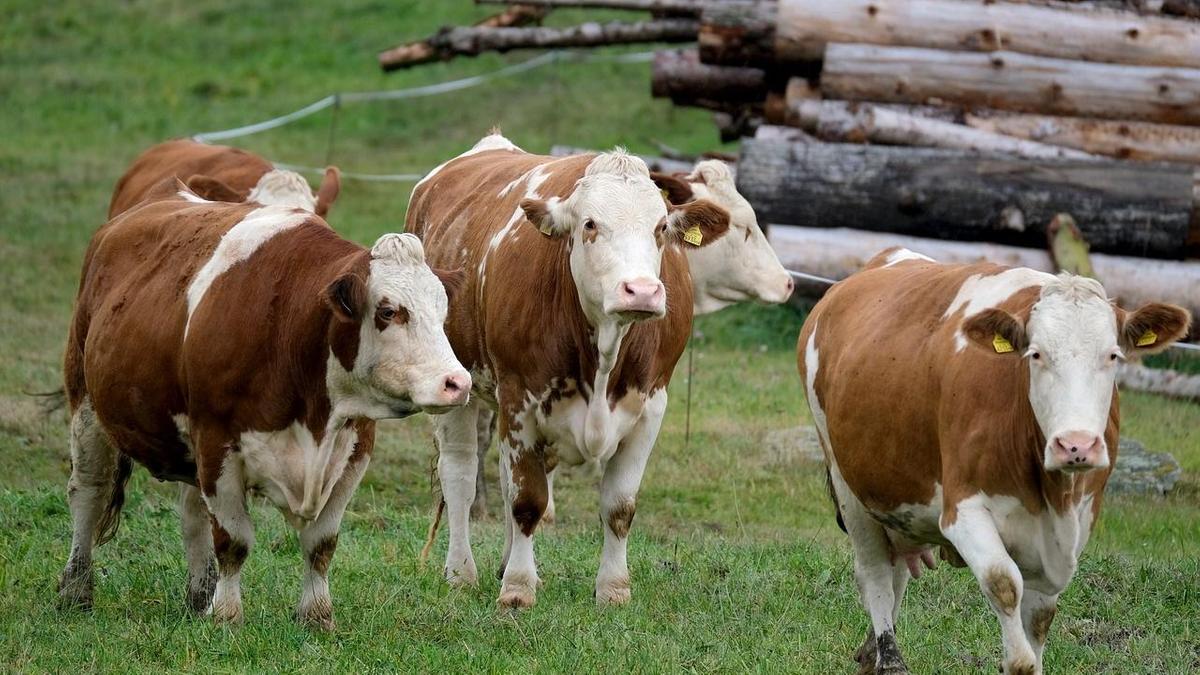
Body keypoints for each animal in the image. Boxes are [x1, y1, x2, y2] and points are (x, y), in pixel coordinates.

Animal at [59, 181, 468, 629]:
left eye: (443, 310)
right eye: (389, 311)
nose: (457, 383)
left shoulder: (355, 449)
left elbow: (321, 543)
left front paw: (316, 614)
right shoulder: (216, 443)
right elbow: (233, 540)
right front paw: (227, 615)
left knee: (191, 513)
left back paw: (199, 596)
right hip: (87, 405)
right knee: (88, 493)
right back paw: (75, 591)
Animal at [408, 131, 729, 605]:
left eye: (660, 228)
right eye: (590, 224)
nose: (642, 290)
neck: (605, 354)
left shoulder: (652, 406)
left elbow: (619, 506)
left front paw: (613, 588)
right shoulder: (519, 399)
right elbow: (527, 501)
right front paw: (517, 589)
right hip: (456, 387)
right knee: (461, 475)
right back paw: (461, 572)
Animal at [796, 248, 1190, 672]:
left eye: (1113, 355)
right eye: (1036, 355)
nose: (1076, 445)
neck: (1052, 496)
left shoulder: (1076, 525)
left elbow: (1041, 617)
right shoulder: (963, 511)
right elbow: (1005, 586)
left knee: (897, 569)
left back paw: (871, 653)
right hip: (847, 484)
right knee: (875, 573)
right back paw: (889, 657)